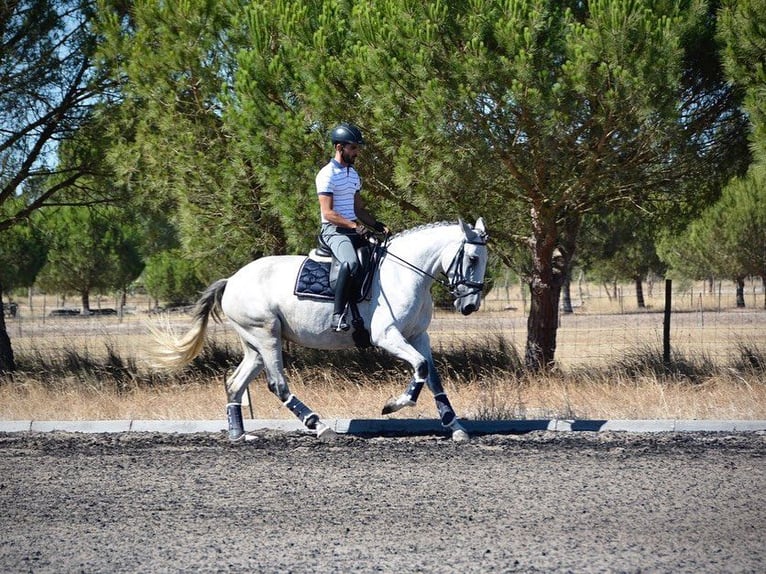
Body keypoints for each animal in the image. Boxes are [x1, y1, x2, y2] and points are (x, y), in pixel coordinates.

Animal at [153, 218, 488, 444]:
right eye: (472, 258)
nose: (470, 305)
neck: (404, 272)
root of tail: (232, 280)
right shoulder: (388, 336)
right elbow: (419, 367)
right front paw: (395, 404)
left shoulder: (419, 336)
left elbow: (431, 375)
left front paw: (455, 426)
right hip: (266, 335)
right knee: (277, 384)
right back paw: (320, 426)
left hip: (255, 344)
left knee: (235, 383)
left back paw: (238, 435)